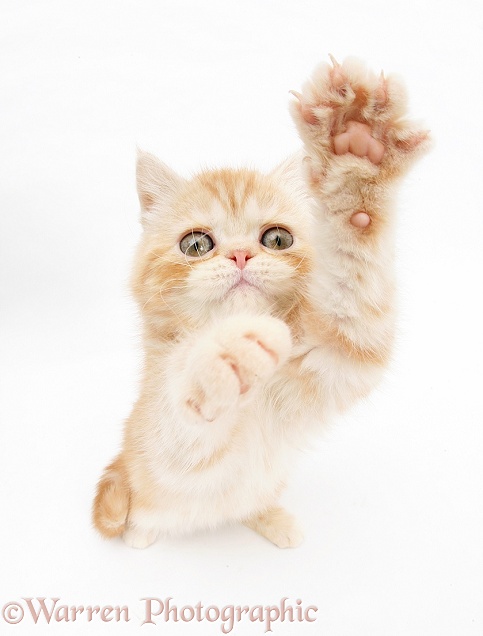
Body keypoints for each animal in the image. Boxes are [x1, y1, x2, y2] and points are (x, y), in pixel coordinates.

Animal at [92, 57, 430, 548]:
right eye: (196, 245)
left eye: (277, 239)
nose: (240, 256)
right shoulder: (161, 444)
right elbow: (180, 422)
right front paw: (224, 354)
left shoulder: (337, 350)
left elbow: (356, 289)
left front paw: (357, 153)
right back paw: (142, 532)